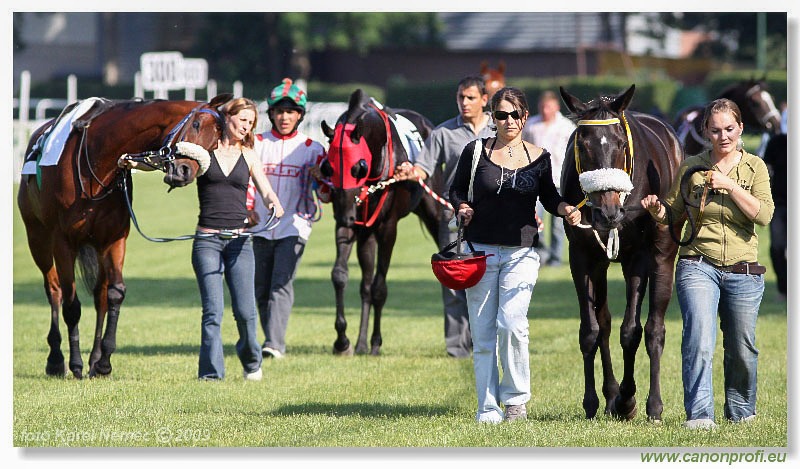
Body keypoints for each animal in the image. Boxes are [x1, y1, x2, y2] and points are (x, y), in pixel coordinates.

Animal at [18, 93, 231, 378]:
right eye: (196, 125)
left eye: (216, 141)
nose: (185, 171)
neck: (96, 162)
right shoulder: (63, 241)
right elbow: (71, 304)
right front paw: (75, 363)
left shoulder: (113, 238)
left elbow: (115, 293)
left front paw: (103, 361)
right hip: (38, 238)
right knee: (53, 289)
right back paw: (55, 359)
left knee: (99, 294)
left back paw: (93, 357)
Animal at [318, 88, 444, 354]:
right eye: (327, 167)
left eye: (358, 167)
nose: (345, 214)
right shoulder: (351, 224)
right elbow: (340, 275)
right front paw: (343, 340)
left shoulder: (388, 227)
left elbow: (379, 288)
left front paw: (376, 342)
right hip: (367, 233)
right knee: (364, 284)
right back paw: (360, 343)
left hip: (433, 211)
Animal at [560, 85, 684, 424]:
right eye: (582, 144)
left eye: (619, 144)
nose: (608, 212)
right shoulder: (583, 256)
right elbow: (591, 330)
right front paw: (594, 400)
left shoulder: (638, 256)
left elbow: (632, 331)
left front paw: (629, 400)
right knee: (603, 323)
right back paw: (611, 394)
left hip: (662, 255)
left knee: (655, 328)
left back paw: (651, 405)